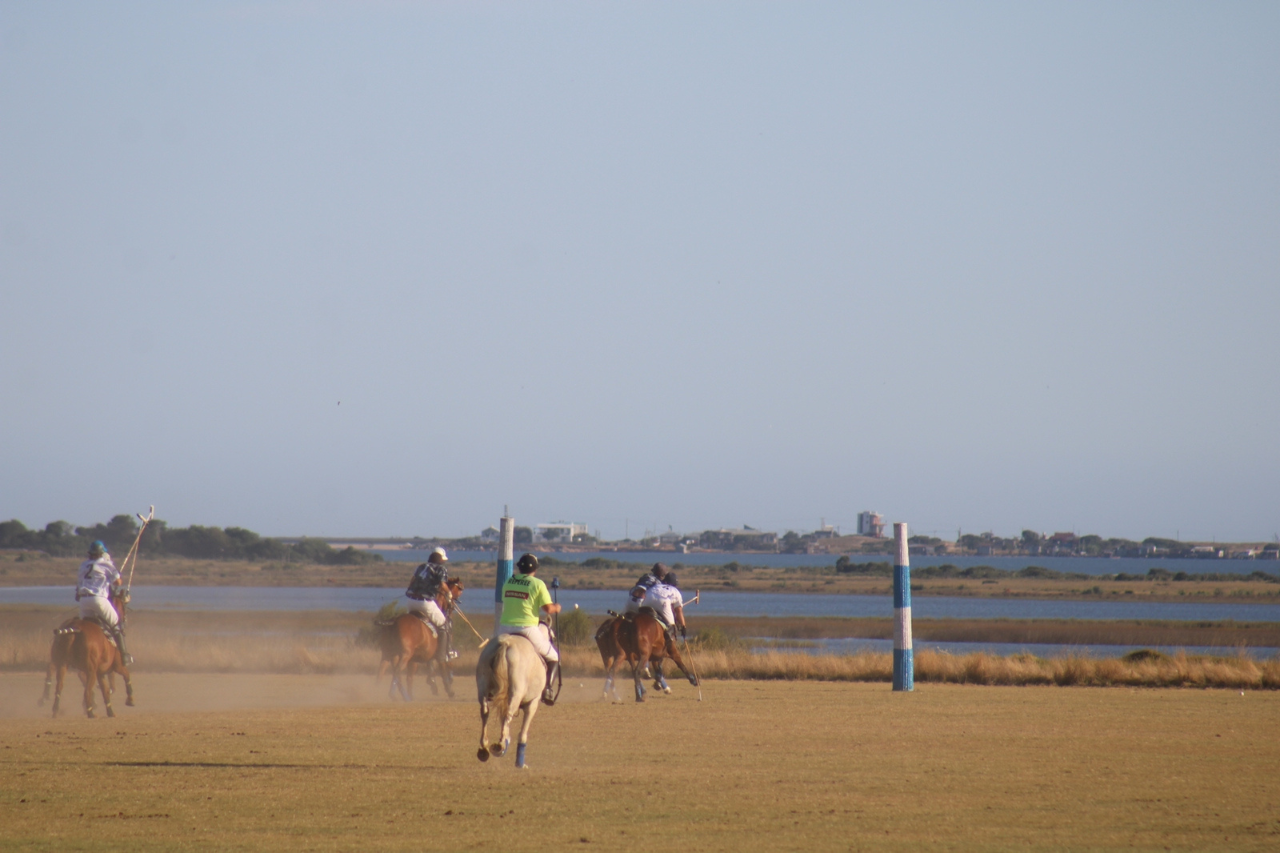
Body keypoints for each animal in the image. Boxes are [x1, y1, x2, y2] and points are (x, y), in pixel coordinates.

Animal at [476, 630, 545, 763]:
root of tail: (505, 644)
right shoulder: (533, 701)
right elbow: (523, 732)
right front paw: (520, 762)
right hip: (516, 692)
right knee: (508, 713)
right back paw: (501, 745)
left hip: (482, 688)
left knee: (485, 712)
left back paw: (484, 747)